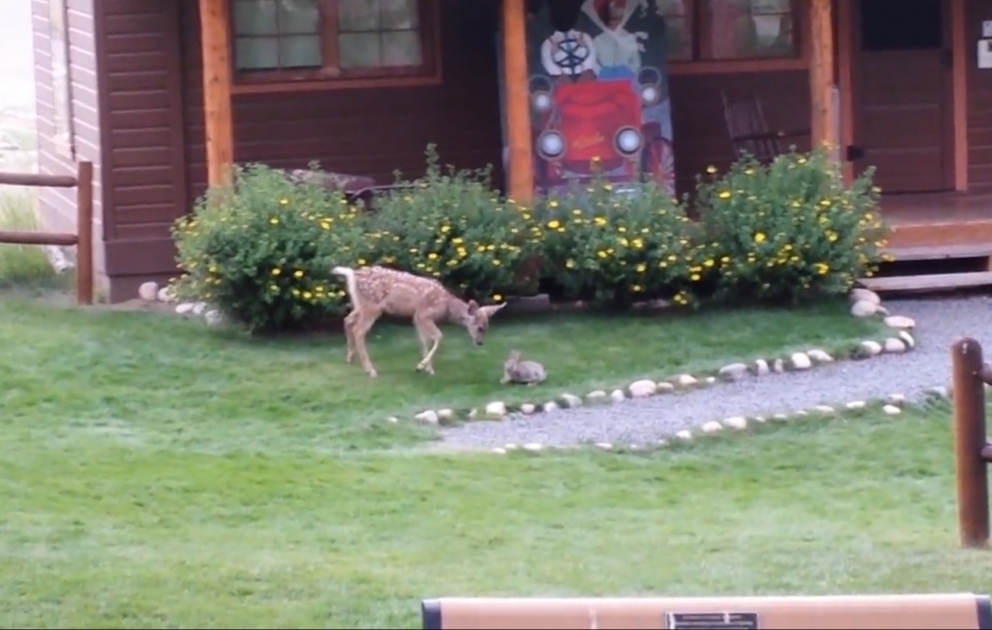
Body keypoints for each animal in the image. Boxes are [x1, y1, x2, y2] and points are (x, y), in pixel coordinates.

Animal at [332, 265, 507, 378]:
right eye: (479, 327)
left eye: (487, 327)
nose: (480, 343)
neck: (447, 306)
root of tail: (352, 274)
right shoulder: (423, 314)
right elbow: (439, 337)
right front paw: (422, 367)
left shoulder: (416, 318)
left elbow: (423, 341)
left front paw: (426, 368)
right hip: (372, 306)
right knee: (359, 331)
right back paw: (370, 370)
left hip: (360, 304)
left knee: (347, 320)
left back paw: (350, 358)